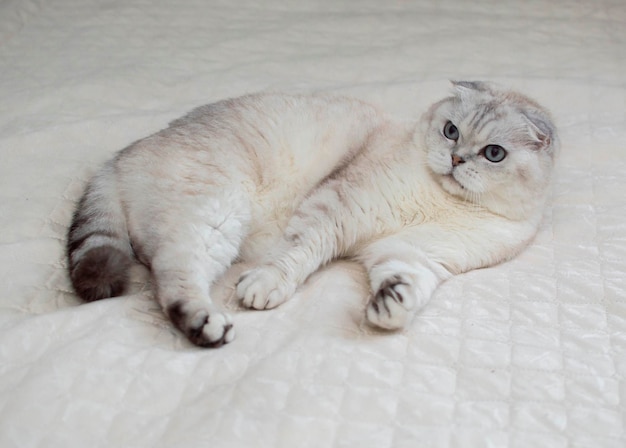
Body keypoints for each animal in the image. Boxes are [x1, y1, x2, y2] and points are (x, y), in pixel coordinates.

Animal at [67, 82, 556, 350]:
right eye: (451, 130)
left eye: (493, 154)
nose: (455, 159)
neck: (443, 201)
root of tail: (120, 157)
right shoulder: (338, 207)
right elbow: (295, 256)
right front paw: (264, 287)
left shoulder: (414, 256)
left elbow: (405, 286)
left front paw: (389, 306)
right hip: (216, 215)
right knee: (172, 276)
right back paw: (209, 326)